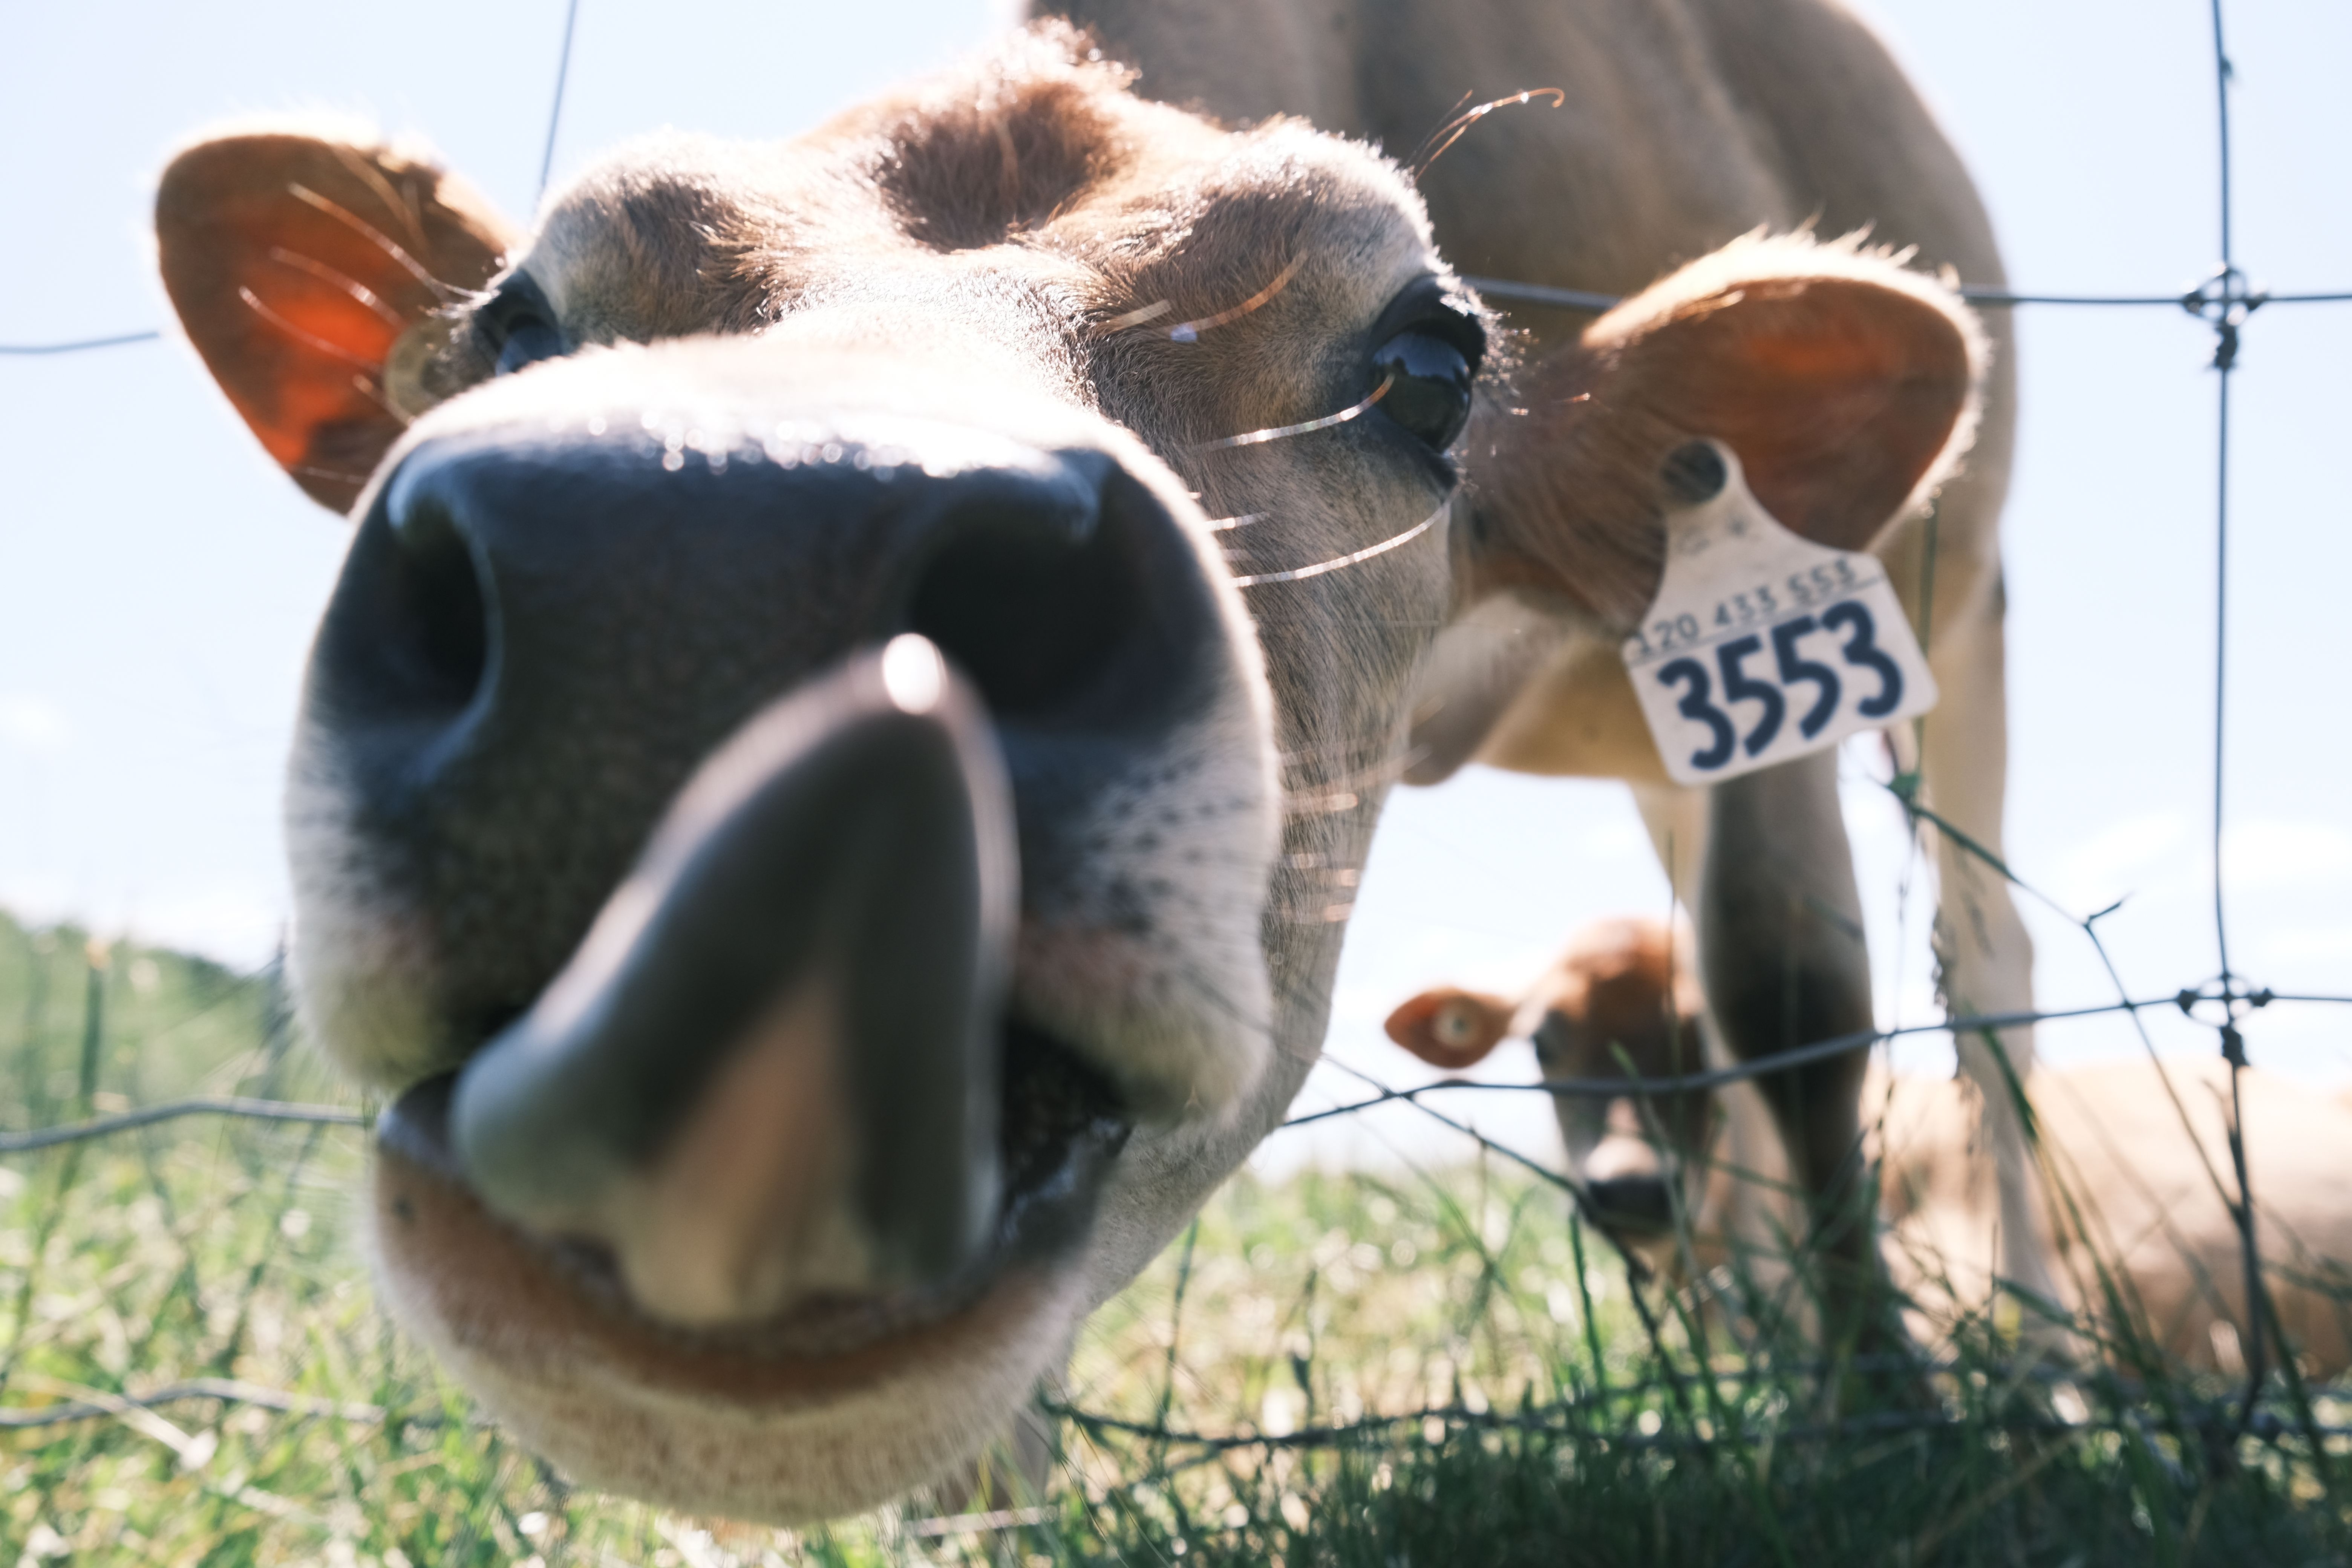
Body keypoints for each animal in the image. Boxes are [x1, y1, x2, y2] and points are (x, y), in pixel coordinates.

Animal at [153, 0, 2015, 1522]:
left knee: (1981, 982)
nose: (710, 547)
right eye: (520, 326)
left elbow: (1793, 1006)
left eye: (1428, 368)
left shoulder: (1751, 667)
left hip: (1951, 628)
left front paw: (1889, 1416)